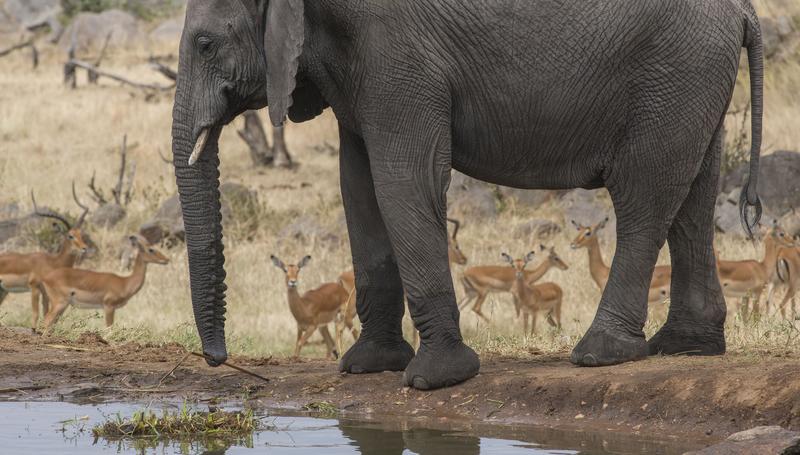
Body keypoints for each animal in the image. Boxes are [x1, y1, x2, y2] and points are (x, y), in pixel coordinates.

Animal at [0, 191, 88, 330]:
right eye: (70, 236)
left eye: (81, 234)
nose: (84, 248)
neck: (53, 262)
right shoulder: (34, 287)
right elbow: (36, 313)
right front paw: (34, 330)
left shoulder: (45, 292)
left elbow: (46, 313)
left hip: (3, 290)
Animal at [40, 237, 169, 334]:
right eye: (151, 249)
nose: (166, 259)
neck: (125, 282)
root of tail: (46, 277)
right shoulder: (109, 307)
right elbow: (109, 328)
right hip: (60, 303)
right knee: (46, 320)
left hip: (63, 306)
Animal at [173, 0, 764, 392]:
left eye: (205, 44)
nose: (219, 359)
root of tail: (742, 11)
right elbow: (357, 186)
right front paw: (368, 365)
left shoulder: (398, 59)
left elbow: (403, 179)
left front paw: (435, 379)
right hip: (693, 82)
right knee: (694, 195)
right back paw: (686, 346)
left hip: (674, 72)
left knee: (645, 196)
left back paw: (601, 355)